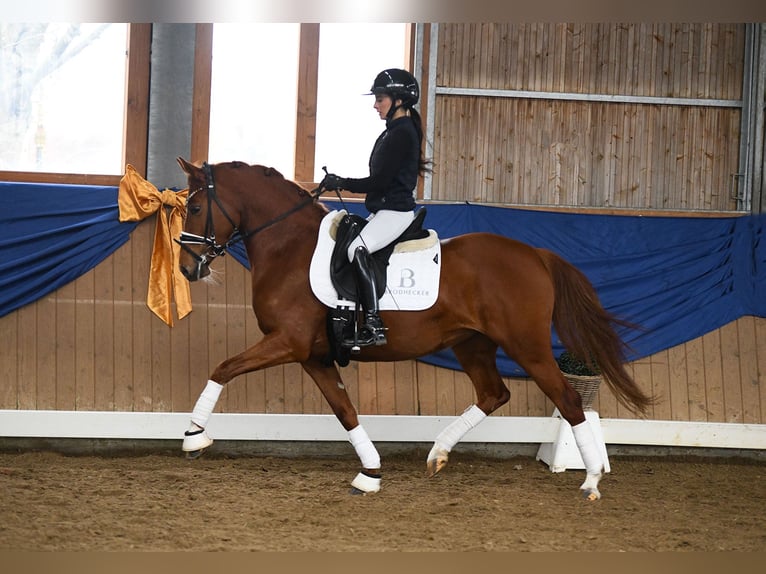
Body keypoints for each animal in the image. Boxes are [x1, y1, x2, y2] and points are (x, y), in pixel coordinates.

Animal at [176, 156, 656, 500]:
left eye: (195, 207)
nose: (186, 268)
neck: (289, 248)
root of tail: (535, 254)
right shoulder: (313, 355)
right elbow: (344, 411)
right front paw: (370, 472)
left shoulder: (287, 342)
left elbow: (223, 368)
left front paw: (194, 436)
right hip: (472, 345)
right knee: (493, 394)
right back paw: (438, 452)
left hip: (528, 347)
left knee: (569, 400)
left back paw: (591, 481)